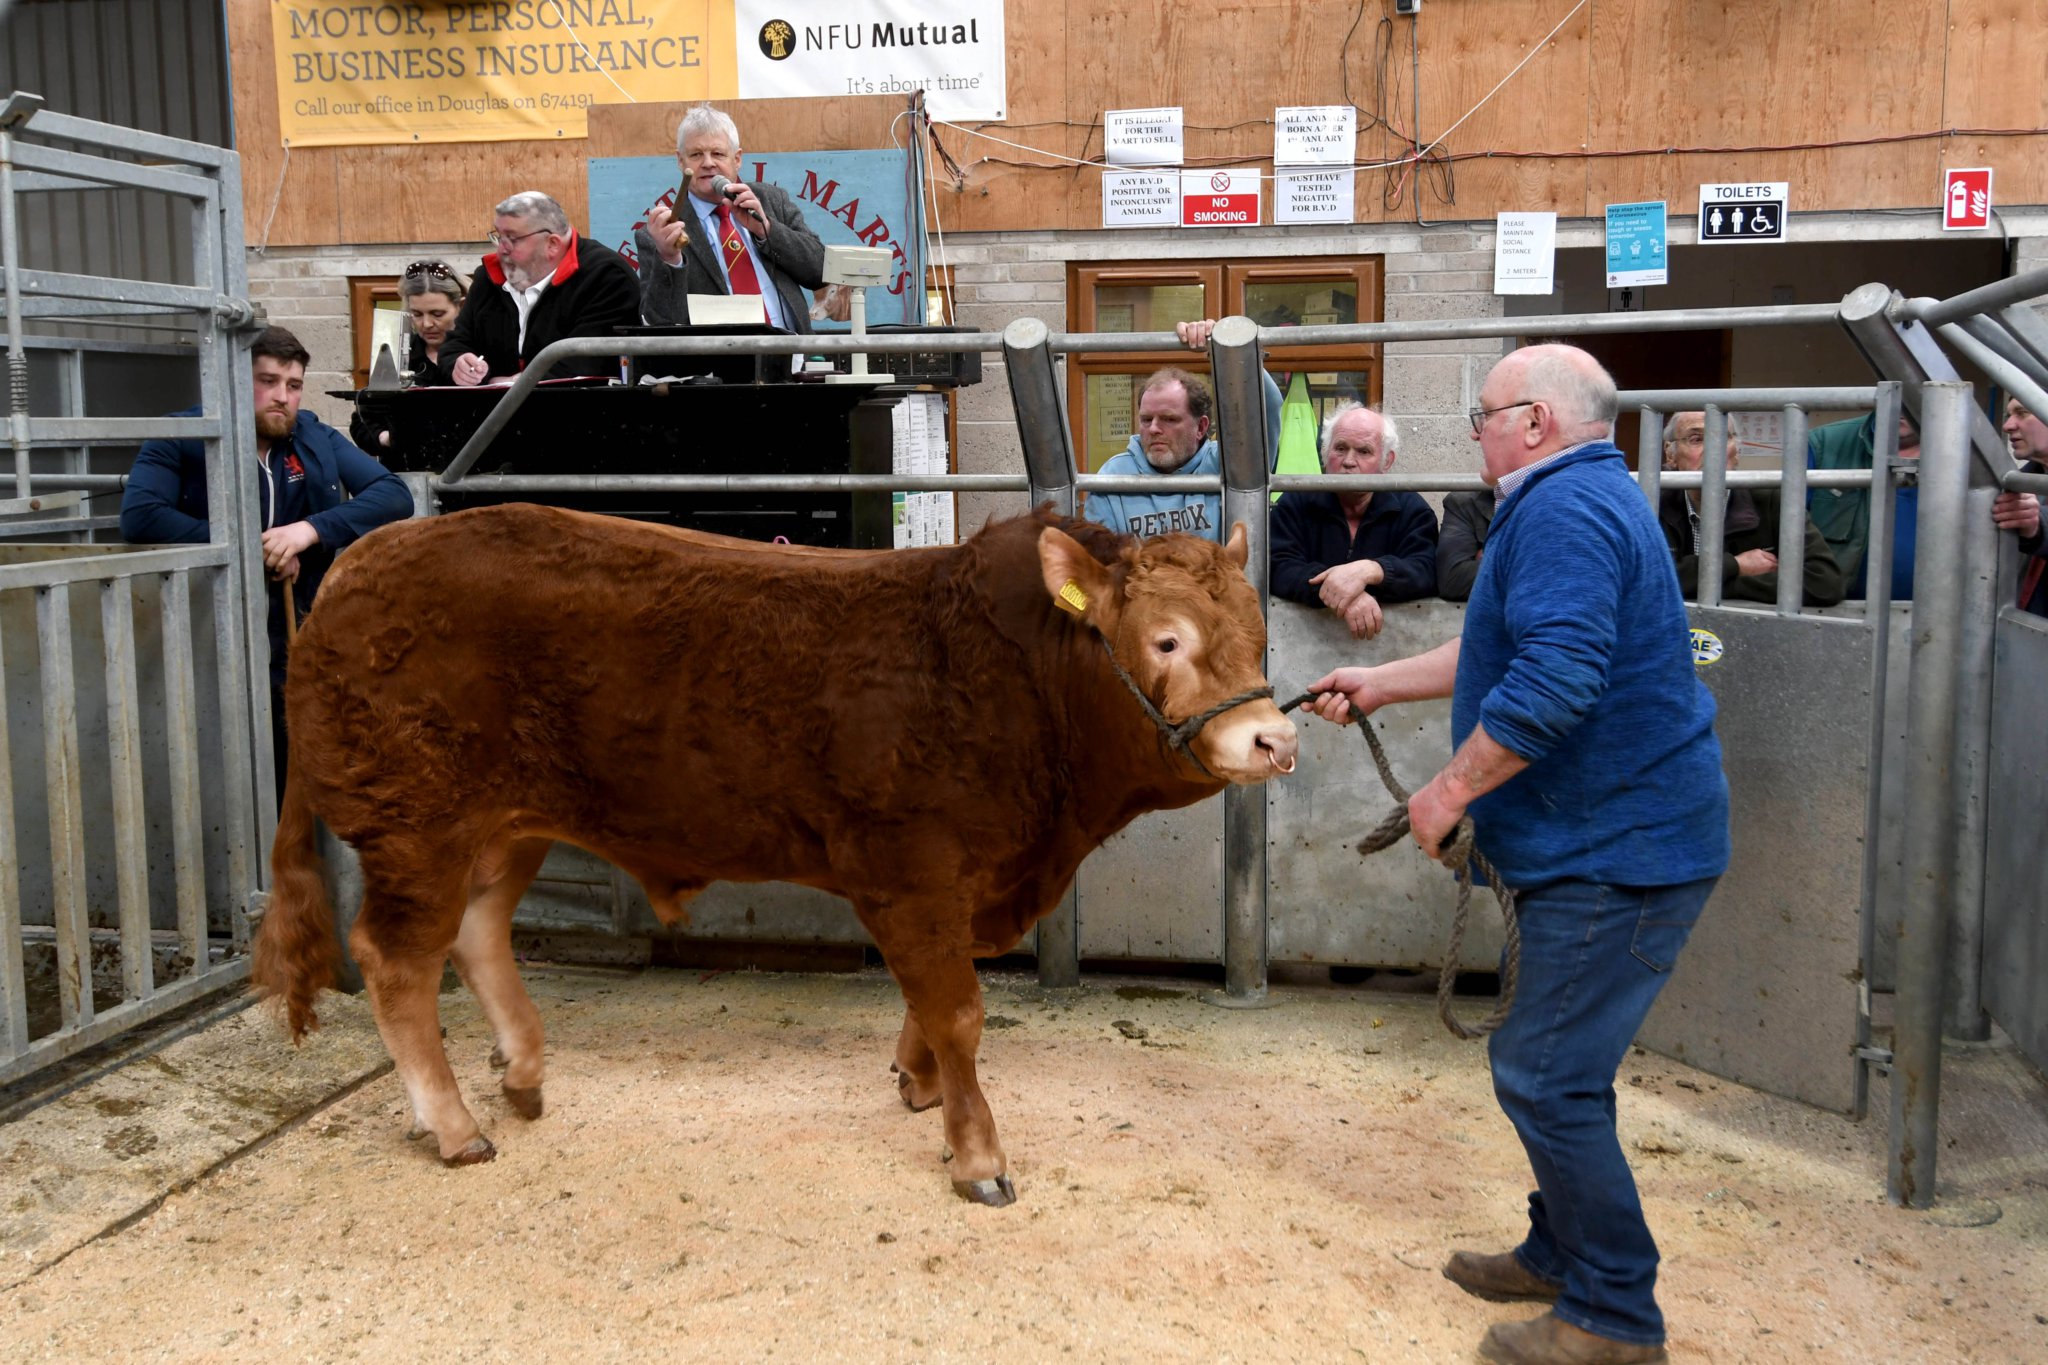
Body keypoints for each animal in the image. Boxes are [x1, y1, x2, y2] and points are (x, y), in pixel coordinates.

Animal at [252, 503, 1298, 1205]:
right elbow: (957, 1008)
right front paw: (979, 1155)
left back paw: (521, 1075)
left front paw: (918, 1083)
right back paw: (455, 1123)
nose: (1273, 740)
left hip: (507, 824)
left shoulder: (958, 882)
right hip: (418, 826)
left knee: (475, 935)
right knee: (398, 960)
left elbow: (931, 1002)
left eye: (1258, 633)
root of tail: (356, 565)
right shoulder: (908, 867)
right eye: (1167, 638)